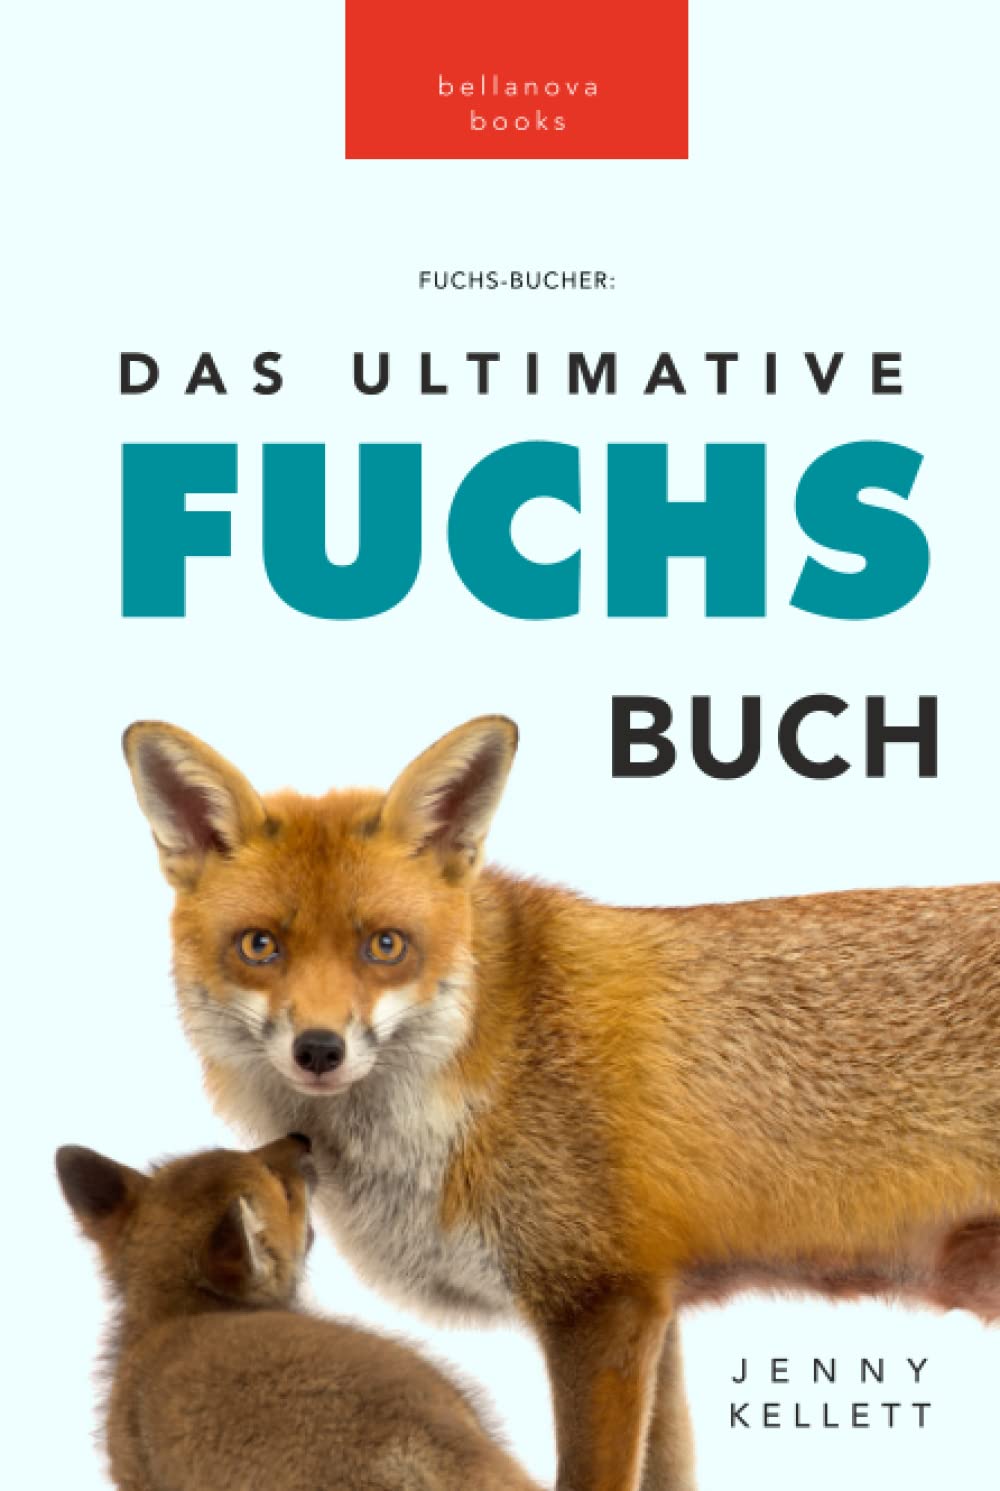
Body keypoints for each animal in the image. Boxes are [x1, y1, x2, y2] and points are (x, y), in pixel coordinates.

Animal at [123, 714, 1000, 1491]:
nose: (318, 1049)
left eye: (385, 946)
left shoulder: (599, 1303)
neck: (487, 1065)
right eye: (260, 946)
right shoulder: (655, 1306)